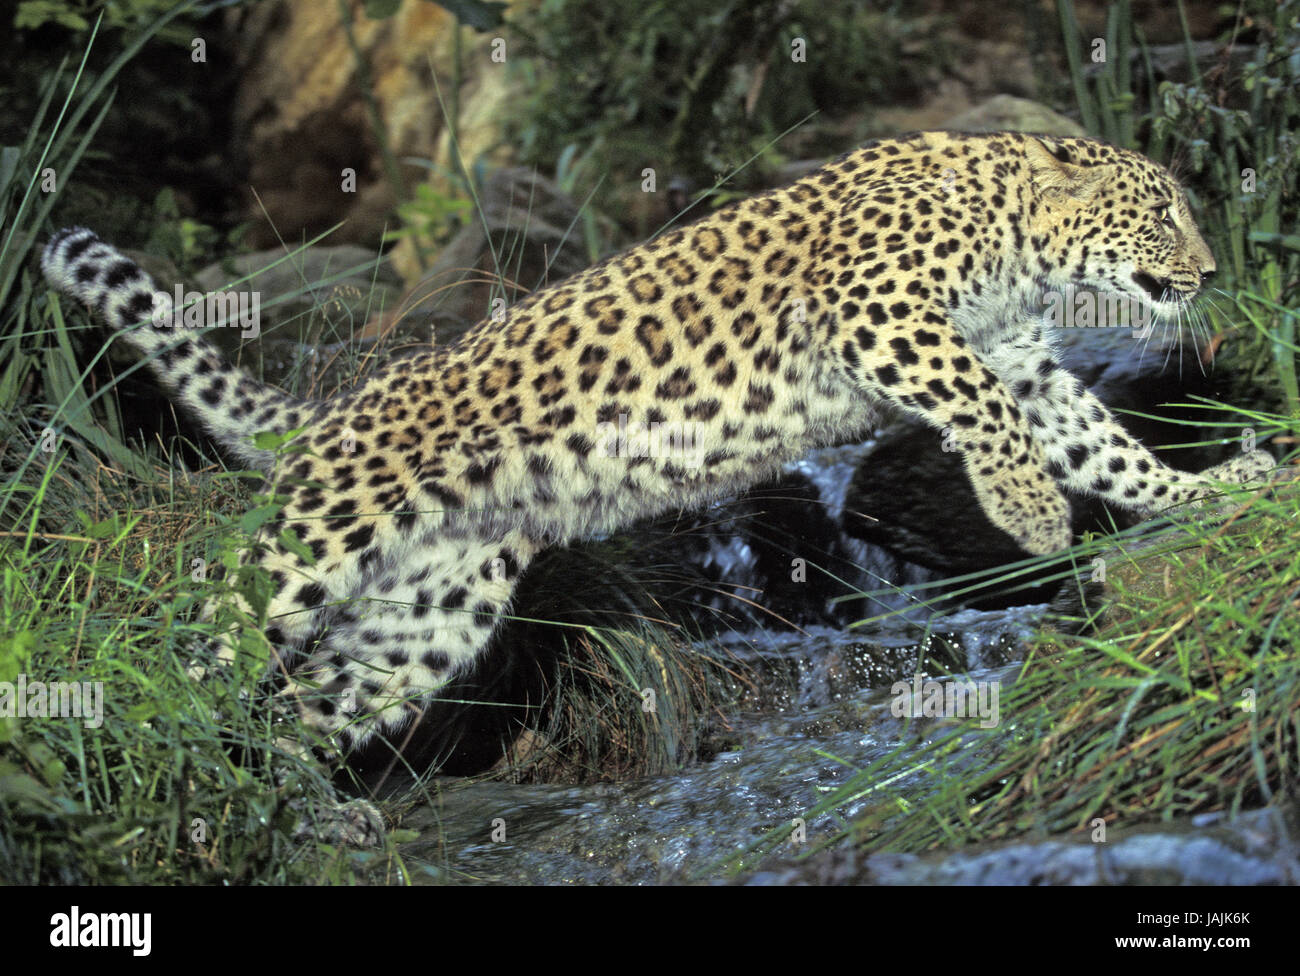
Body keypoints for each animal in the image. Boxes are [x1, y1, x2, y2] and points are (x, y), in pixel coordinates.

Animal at [41, 130, 1277, 837]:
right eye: (1159, 207)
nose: (1210, 268)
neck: (1021, 241)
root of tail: (340, 406)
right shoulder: (882, 316)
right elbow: (980, 409)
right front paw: (1025, 507)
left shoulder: (1023, 363)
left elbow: (1102, 444)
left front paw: (1213, 491)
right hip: (308, 542)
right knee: (202, 635)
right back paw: (142, 741)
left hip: (432, 605)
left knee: (312, 705)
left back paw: (305, 811)